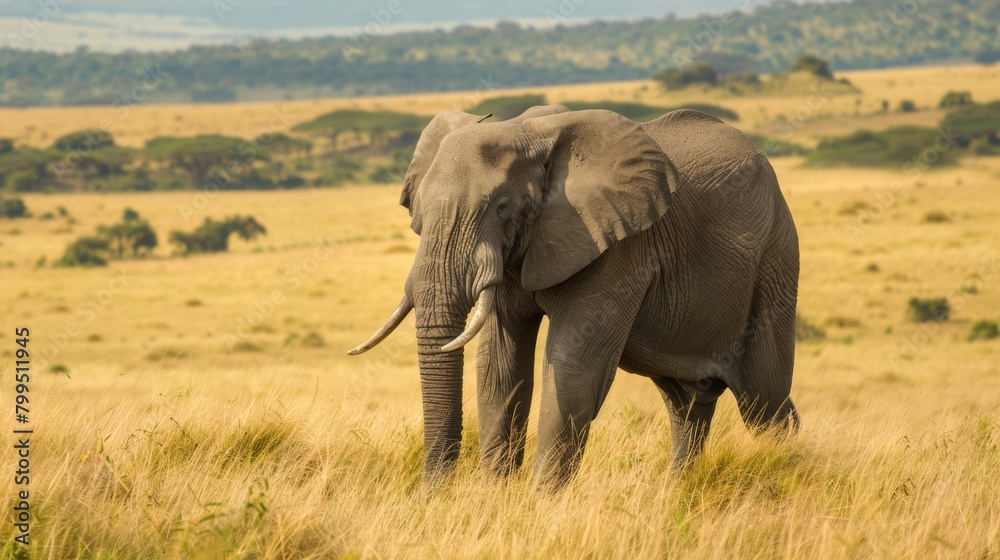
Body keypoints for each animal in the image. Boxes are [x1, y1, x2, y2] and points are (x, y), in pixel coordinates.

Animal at [349, 105, 800, 487]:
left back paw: (785, 470)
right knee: (687, 406)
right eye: (419, 212)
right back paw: (677, 490)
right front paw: (496, 496)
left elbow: (571, 368)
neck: (527, 131)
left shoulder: (618, 244)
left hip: (775, 263)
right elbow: (500, 366)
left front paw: (541, 504)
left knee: (764, 400)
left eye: (503, 206)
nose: (435, 494)